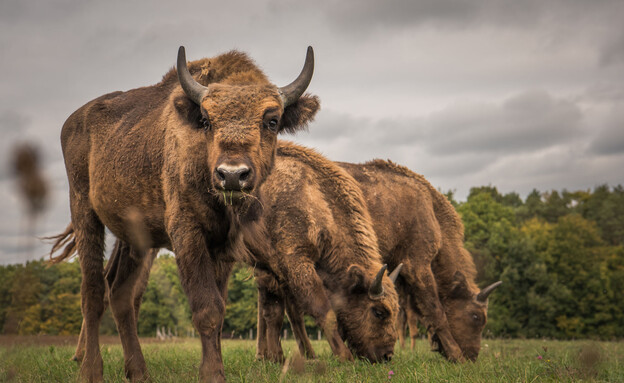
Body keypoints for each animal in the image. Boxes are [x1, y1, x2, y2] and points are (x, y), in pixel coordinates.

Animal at [50, 45, 316, 383]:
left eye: (272, 120)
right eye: (205, 120)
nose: (232, 175)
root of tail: (73, 121)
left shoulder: (224, 248)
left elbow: (220, 306)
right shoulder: (187, 234)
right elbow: (207, 308)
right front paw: (212, 374)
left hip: (134, 238)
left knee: (121, 293)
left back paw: (138, 372)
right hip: (84, 212)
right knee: (93, 291)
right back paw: (90, 371)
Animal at [258, 159, 502, 364]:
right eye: (476, 316)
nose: (473, 355)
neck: (430, 209)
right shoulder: (418, 264)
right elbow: (436, 311)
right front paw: (456, 355)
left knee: (273, 307)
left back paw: (268, 355)